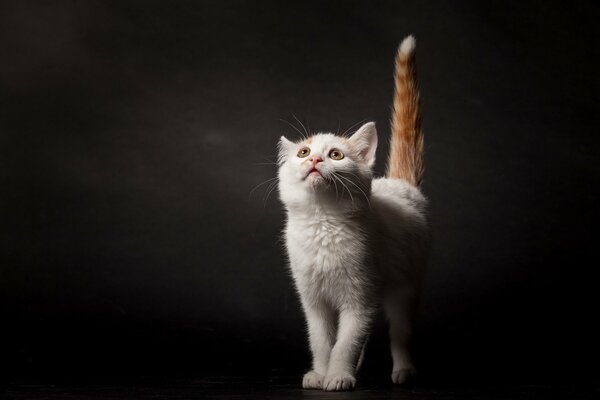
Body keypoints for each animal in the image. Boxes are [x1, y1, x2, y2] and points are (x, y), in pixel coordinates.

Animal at [278, 36, 428, 392]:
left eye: (335, 154)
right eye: (303, 151)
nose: (314, 160)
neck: (322, 220)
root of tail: (400, 184)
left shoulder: (361, 295)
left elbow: (348, 339)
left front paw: (339, 376)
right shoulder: (312, 299)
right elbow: (322, 340)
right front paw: (321, 373)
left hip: (406, 285)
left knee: (398, 332)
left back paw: (403, 370)